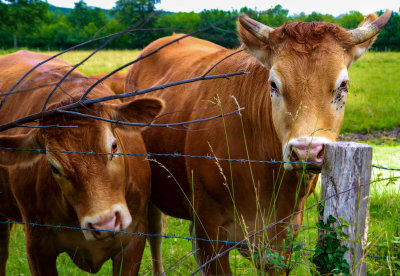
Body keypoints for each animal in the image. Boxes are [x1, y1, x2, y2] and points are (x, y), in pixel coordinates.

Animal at [126, 10, 390, 274]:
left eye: (343, 85)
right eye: (273, 84)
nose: (306, 151)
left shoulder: (283, 236)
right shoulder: (209, 229)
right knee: (155, 233)